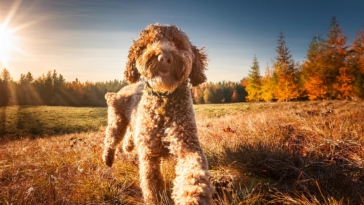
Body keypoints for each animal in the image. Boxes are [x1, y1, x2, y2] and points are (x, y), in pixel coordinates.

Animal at [102, 23, 213, 203]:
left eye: (178, 43)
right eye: (148, 43)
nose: (165, 57)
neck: (163, 99)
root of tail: (118, 92)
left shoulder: (187, 144)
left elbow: (193, 173)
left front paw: (191, 197)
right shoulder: (149, 153)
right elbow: (151, 181)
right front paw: (155, 199)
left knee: (129, 135)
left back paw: (128, 145)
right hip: (116, 122)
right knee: (111, 140)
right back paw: (108, 158)